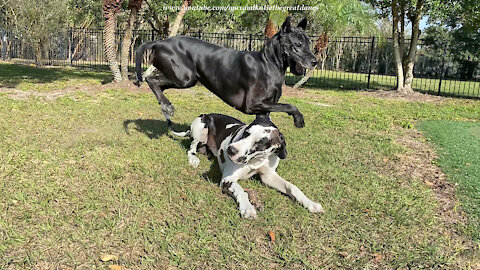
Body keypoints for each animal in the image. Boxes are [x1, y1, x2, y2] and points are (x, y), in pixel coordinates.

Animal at [133, 16, 316, 129]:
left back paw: (165, 105)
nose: (315, 61)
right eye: (297, 44)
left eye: (309, 43)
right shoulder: (253, 104)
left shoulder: (264, 110)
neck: (269, 64)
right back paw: (167, 105)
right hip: (185, 77)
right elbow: (290, 105)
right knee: (150, 79)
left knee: (157, 85)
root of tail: (159, 42)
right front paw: (299, 118)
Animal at [171, 113, 324, 218]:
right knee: (191, 148)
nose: (230, 150)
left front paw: (310, 203)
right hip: (201, 126)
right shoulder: (228, 179)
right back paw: (193, 158)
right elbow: (241, 191)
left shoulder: (269, 177)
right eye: (246, 132)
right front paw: (247, 208)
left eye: (260, 144)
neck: (255, 161)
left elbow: (292, 187)